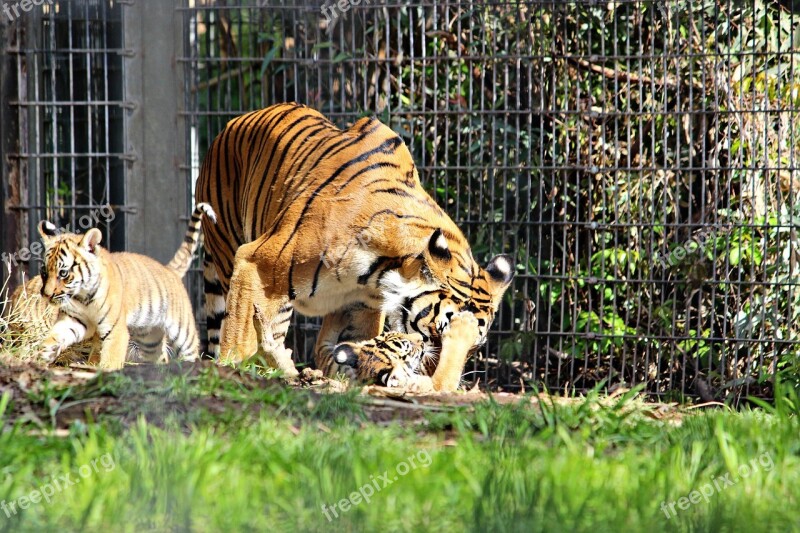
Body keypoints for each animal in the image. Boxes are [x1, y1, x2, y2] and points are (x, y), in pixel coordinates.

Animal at [197, 102, 516, 390]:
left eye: (477, 349)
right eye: (436, 336)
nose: (431, 379)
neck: (380, 273)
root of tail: (229, 124)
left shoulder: (360, 306)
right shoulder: (256, 263)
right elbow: (238, 335)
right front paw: (231, 372)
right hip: (233, 256)